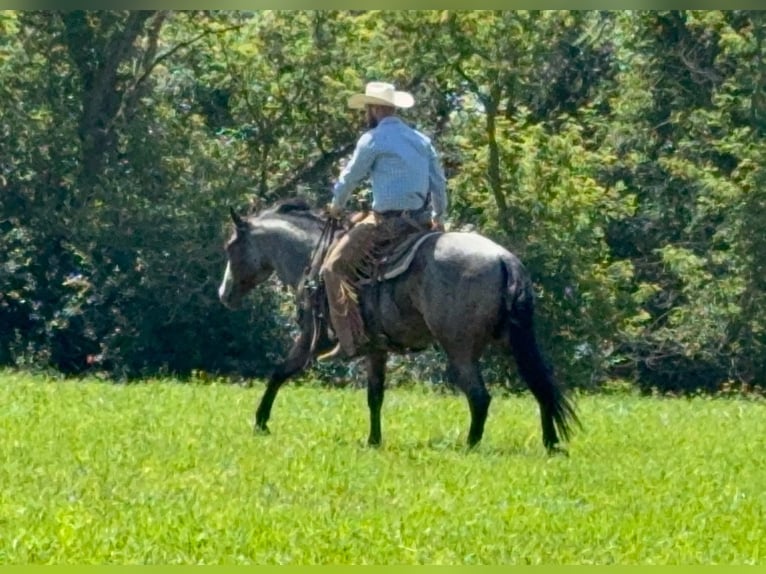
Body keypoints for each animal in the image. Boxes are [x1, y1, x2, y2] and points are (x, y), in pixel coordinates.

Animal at [217, 198, 580, 453]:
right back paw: (550, 443)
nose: (224, 294)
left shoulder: (311, 337)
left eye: (231, 246)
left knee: (479, 397)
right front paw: (374, 440)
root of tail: (504, 258)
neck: (313, 257)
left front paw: (260, 423)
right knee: (539, 386)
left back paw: (470, 445)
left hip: (459, 350)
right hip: (510, 343)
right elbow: (375, 395)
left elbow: (279, 372)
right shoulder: (376, 348)